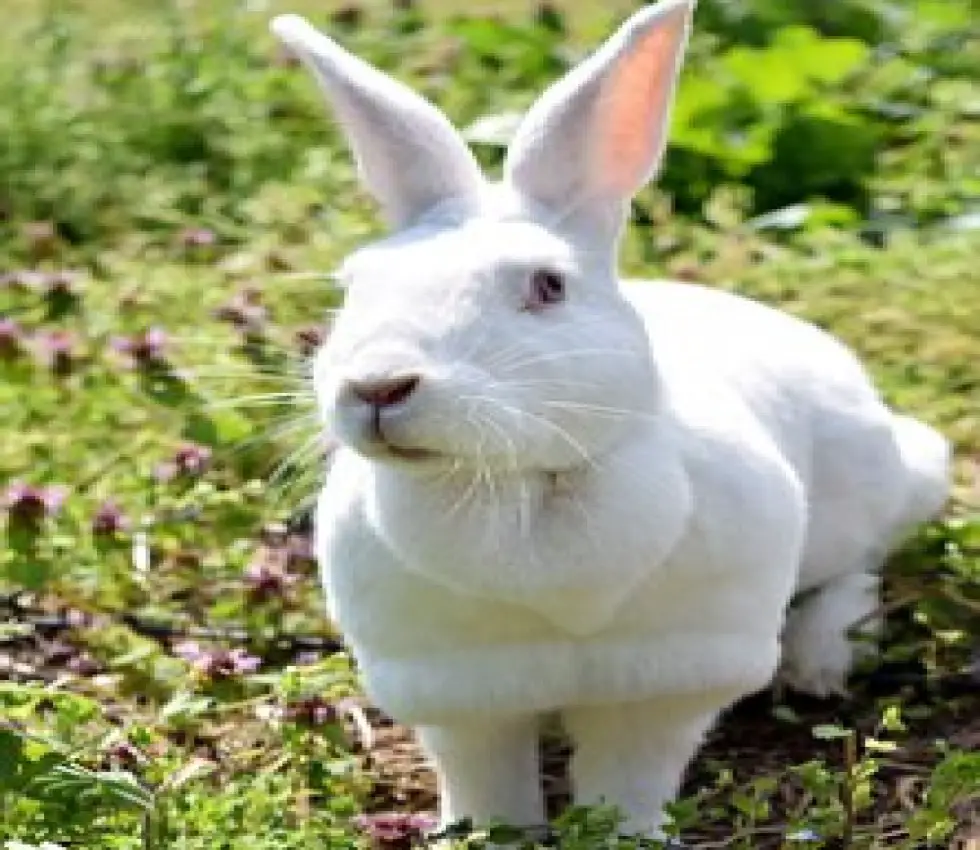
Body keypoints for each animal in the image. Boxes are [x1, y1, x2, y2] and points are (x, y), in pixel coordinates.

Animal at [270, 0, 948, 836]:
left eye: (547, 286)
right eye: (353, 285)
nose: (377, 387)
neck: (522, 485)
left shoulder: (664, 678)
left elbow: (631, 777)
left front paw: (632, 836)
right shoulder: (456, 689)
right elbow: (485, 779)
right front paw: (485, 837)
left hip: (866, 491)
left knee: (857, 566)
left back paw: (819, 663)